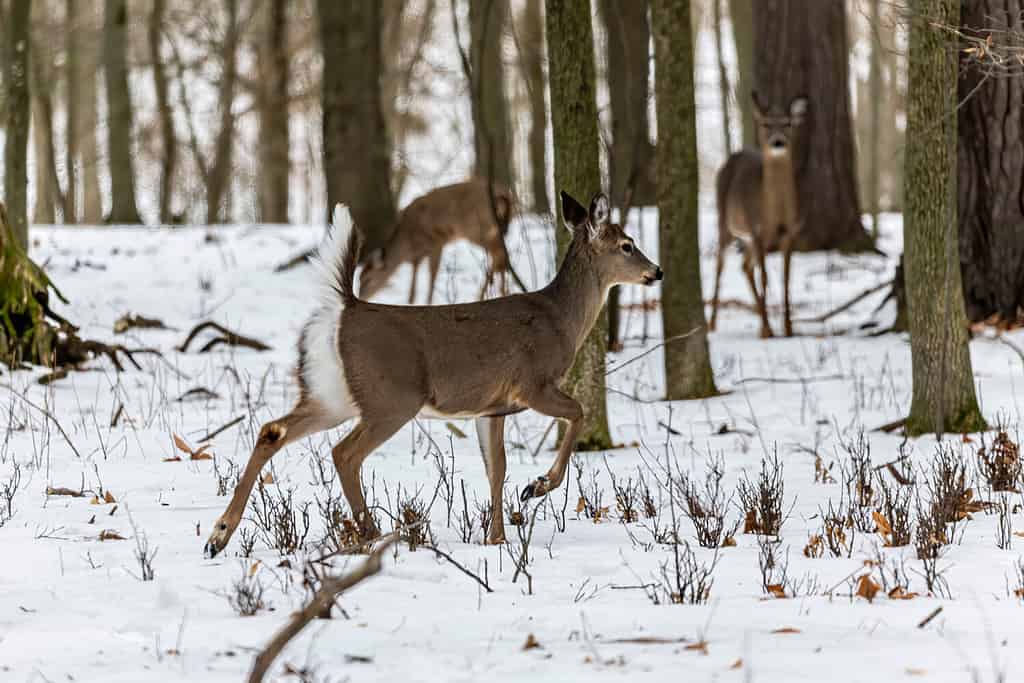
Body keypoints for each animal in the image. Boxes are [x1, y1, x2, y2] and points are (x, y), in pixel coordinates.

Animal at [359, 179, 528, 304]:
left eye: (367, 279)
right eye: (359, 278)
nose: (361, 297)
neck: (407, 240)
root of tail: (507, 195)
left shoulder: (437, 241)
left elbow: (432, 274)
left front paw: (428, 302)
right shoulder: (418, 254)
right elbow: (414, 275)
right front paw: (410, 301)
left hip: (478, 229)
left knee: (499, 255)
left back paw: (488, 294)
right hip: (493, 229)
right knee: (501, 255)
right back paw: (500, 291)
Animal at [709, 92, 808, 338]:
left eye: (788, 123)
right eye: (765, 124)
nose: (778, 141)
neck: (774, 213)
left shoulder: (789, 233)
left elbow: (785, 279)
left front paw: (788, 329)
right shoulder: (757, 230)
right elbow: (765, 277)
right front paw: (768, 332)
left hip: (749, 239)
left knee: (744, 266)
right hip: (725, 221)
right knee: (720, 266)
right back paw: (712, 324)